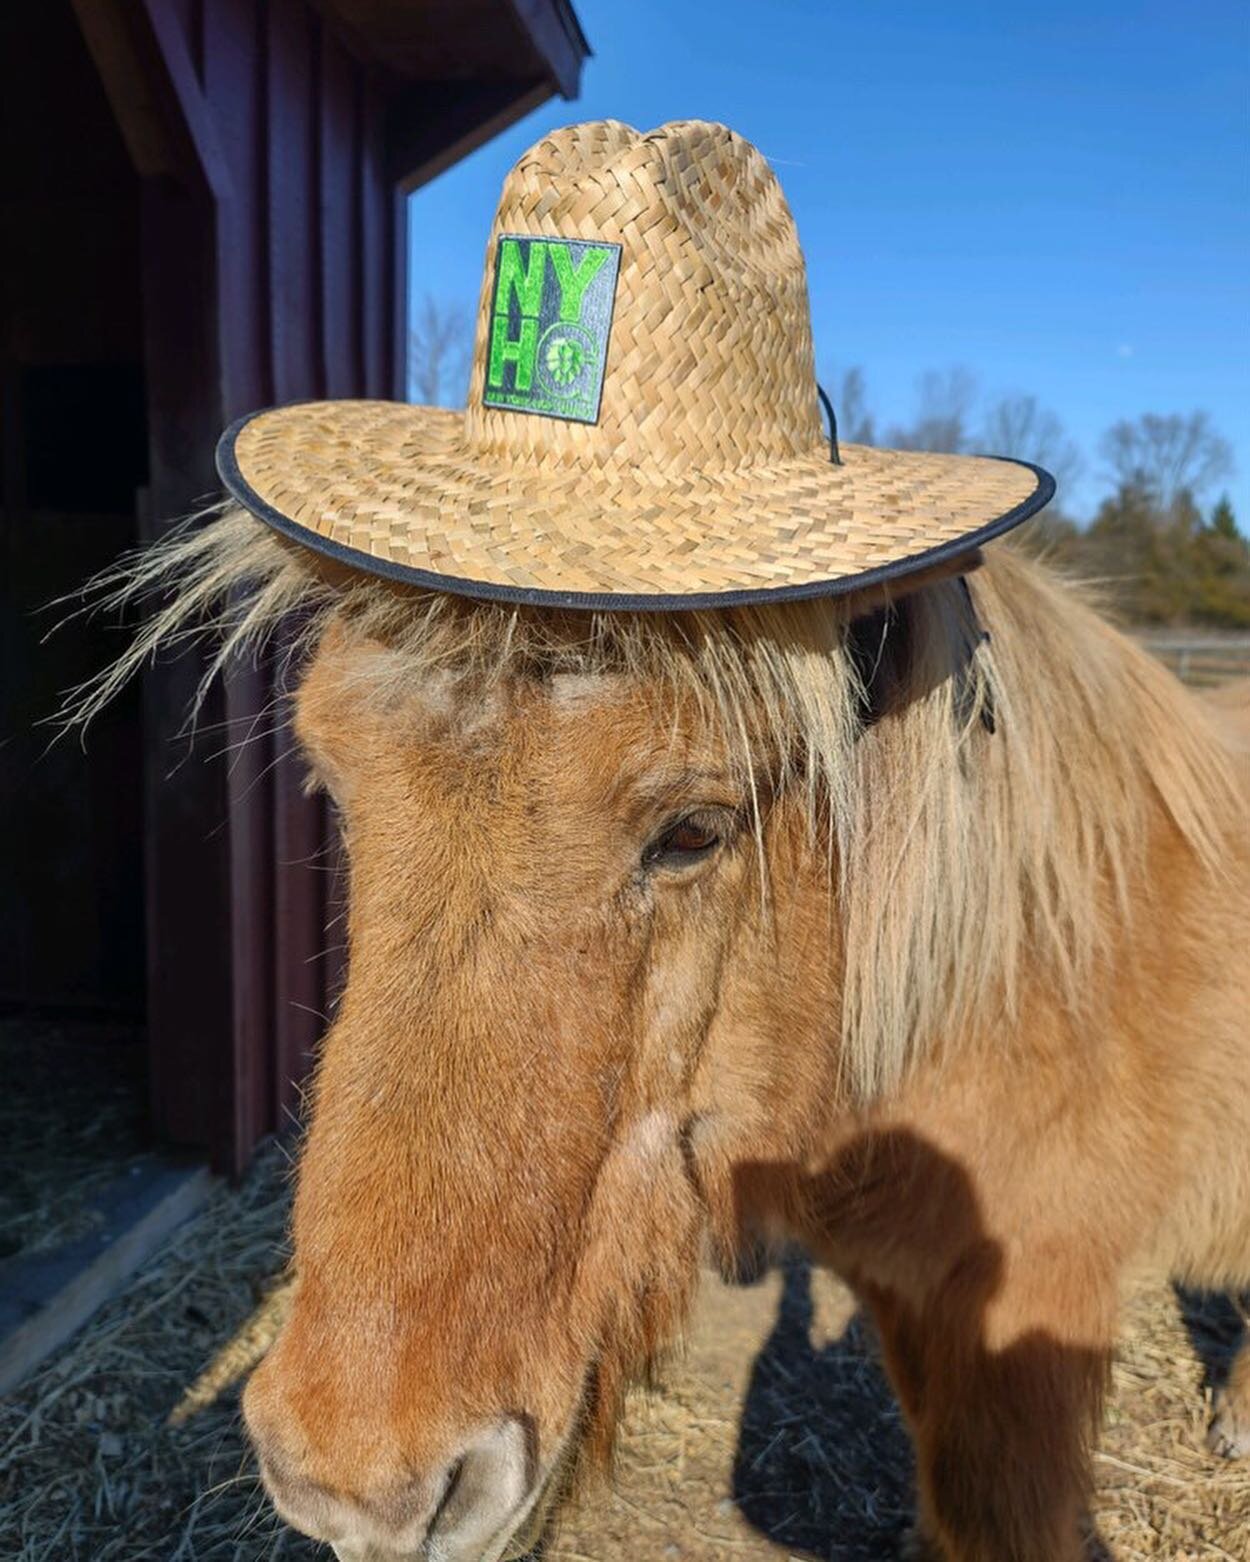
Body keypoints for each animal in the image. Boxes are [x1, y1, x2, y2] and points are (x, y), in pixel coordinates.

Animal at [78, 507, 1250, 1561]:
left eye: (694, 830)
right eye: (331, 782)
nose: (352, 1487)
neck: (1017, 971)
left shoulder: (1027, 1335)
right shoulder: (914, 1303)